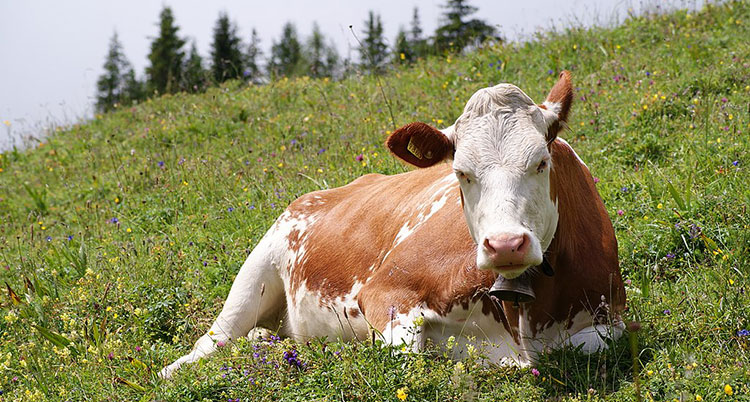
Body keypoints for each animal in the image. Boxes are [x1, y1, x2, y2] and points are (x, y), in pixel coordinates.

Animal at [162, 71, 624, 380]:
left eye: (541, 162)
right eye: (461, 173)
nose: (506, 244)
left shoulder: (611, 319)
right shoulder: (385, 291)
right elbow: (408, 356)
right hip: (257, 270)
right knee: (214, 340)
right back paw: (169, 373)